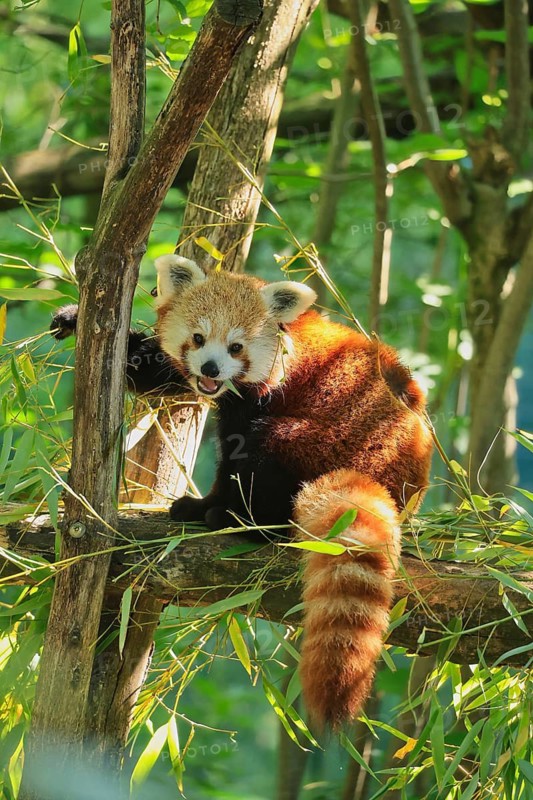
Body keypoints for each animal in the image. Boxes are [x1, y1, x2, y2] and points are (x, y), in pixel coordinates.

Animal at [52, 254, 433, 729]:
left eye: (236, 347)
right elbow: (157, 367)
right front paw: (74, 317)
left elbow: (233, 455)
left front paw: (204, 506)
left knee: (267, 452)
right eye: (198, 339)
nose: (211, 369)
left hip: (320, 443)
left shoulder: (264, 393)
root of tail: (393, 482)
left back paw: (241, 521)